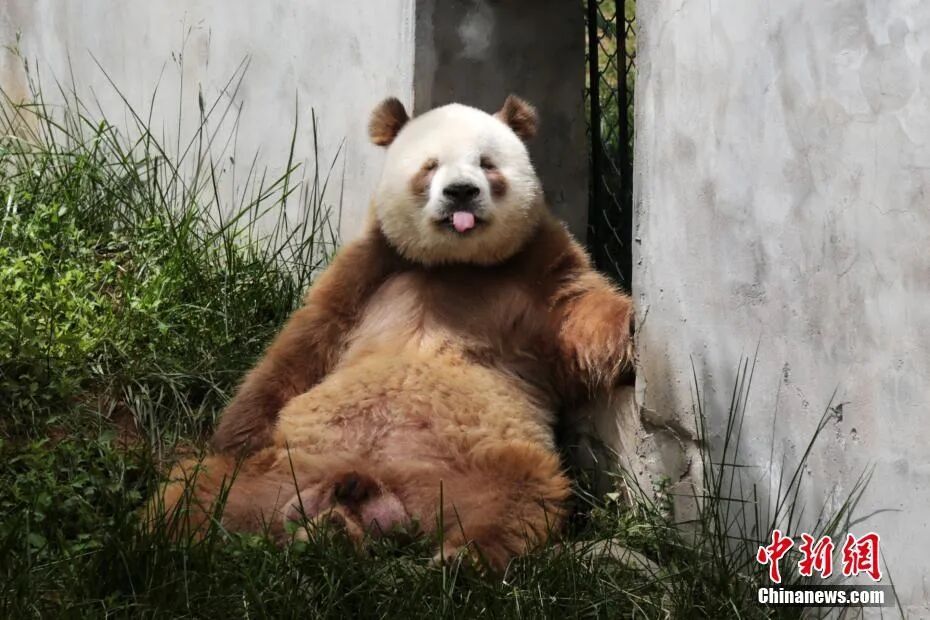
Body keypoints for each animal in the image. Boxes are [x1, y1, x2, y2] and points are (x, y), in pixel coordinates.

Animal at [153, 95, 634, 571]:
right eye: (431, 165)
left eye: (487, 163)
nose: (462, 192)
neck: (455, 264)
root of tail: (383, 493)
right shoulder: (370, 265)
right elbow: (304, 343)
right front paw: (233, 436)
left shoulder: (537, 269)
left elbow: (580, 318)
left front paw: (632, 325)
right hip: (281, 468)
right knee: (197, 492)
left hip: (475, 467)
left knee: (522, 495)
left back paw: (459, 557)